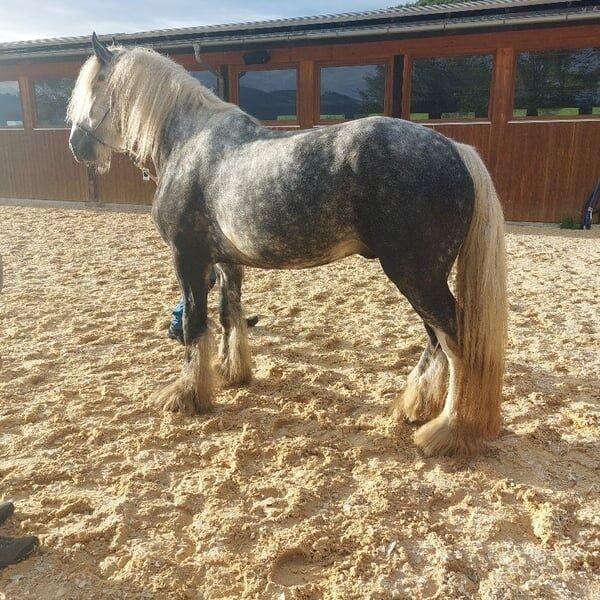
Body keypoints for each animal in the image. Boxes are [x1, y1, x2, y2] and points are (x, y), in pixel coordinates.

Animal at [67, 35, 506, 458]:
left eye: (96, 86)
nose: (76, 146)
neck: (189, 144)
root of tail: (455, 149)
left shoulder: (188, 259)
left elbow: (195, 324)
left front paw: (187, 395)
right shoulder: (225, 263)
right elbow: (229, 316)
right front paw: (231, 373)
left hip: (416, 275)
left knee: (456, 343)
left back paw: (449, 432)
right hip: (422, 277)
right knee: (435, 341)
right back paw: (414, 407)